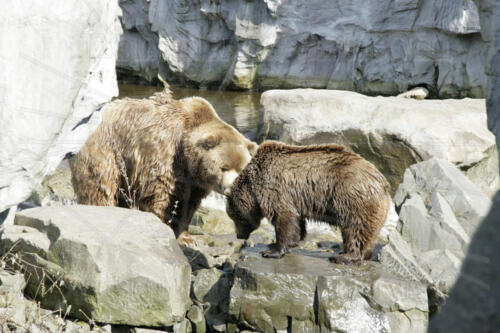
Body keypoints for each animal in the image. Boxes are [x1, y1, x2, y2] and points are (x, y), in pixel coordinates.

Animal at [69, 85, 258, 243]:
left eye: (241, 169)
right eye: (224, 167)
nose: (229, 189)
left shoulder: (194, 182)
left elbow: (188, 206)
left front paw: (186, 237)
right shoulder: (165, 156)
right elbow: (160, 196)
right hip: (106, 151)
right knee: (101, 186)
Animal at [225, 139, 392, 262]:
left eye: (235, 217)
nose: (239, 235)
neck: (253, 187)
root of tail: (383, 182)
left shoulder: (274, 189)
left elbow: (284, 218)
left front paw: (271, 251)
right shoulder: (294, 198)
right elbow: (297, 221)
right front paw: (278, 244)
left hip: (352, 196)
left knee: (355, 227)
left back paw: (345, 256)